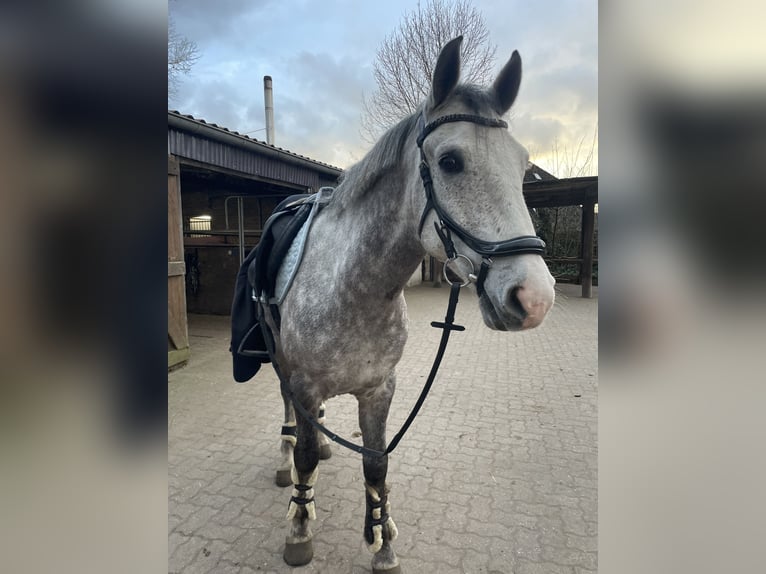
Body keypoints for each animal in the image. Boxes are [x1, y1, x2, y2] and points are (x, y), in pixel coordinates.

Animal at [261, 36, 555, 573]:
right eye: (451, 161)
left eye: (523, 166)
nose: (534, 298)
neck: (354, 289)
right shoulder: (306, 383)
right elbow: (307, 458)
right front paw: (299, 528)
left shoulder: (380, 388)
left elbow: (376, 464)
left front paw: (382, 543)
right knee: (290, 413)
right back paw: (285, 458)